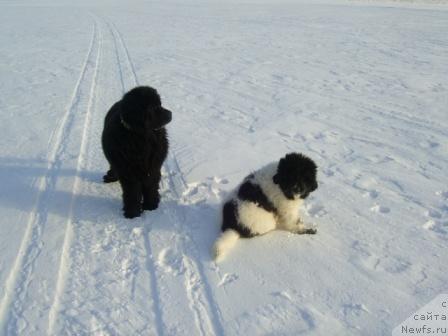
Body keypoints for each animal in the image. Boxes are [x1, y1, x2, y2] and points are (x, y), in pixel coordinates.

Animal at [101, 85, 172, 219]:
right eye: (153, 107)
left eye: (160, 104)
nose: (170, 113)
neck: (140, 137)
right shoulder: (127, 169)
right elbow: (132, 192)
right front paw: (132, 212)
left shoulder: (152, 167)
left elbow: (151, 186)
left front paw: (151, 206)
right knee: (113, 167)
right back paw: (110, 176)